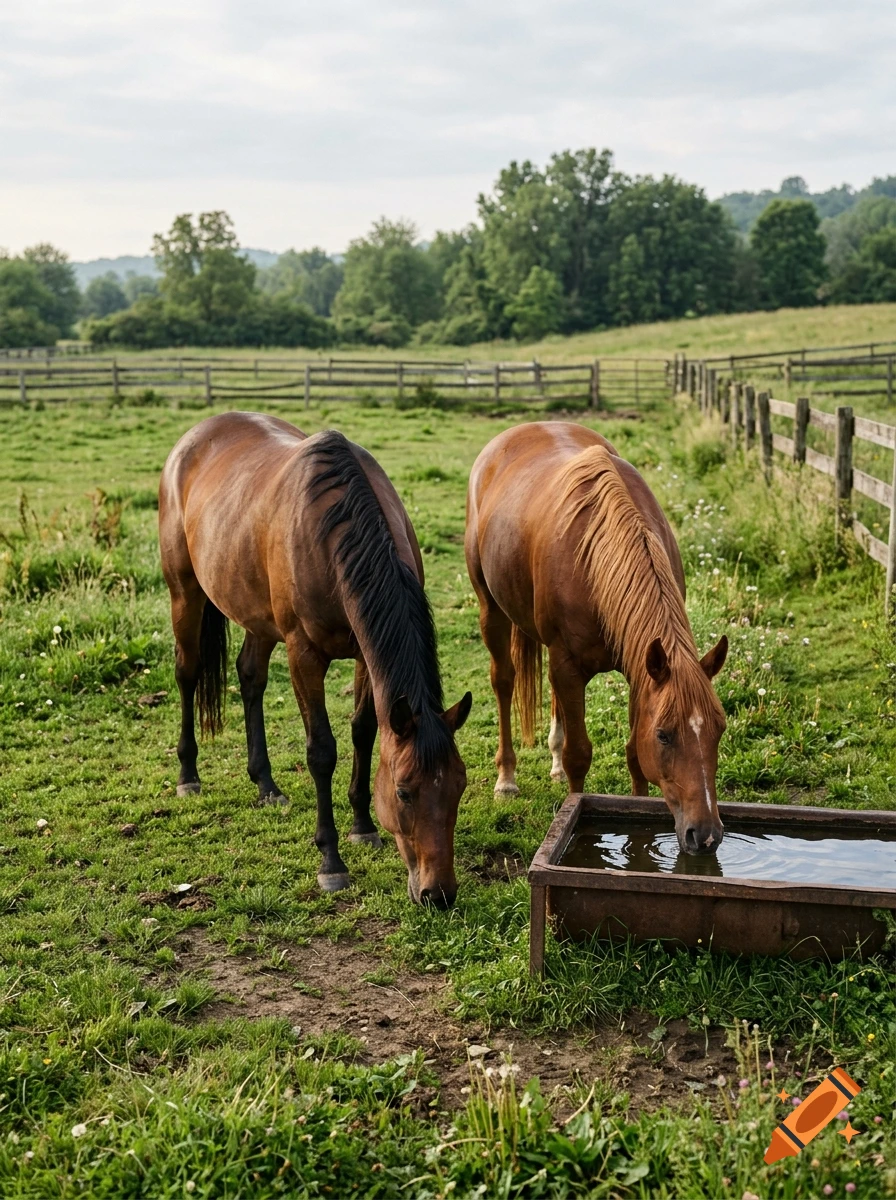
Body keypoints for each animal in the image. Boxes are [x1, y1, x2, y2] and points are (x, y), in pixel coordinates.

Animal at [159, 412, 472, 904]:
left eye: (459, 785)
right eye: (404, 792)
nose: (438, 894)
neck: (334, 534)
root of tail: (194, 436)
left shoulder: (365, 655)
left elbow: (364, 731)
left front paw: (362, 825)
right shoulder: (304, 655)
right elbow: (321, 751)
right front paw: (332, 860)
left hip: (256, 614)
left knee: (250, 677)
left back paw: (265, 783)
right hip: (184, 593)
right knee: (188, 673)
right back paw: (188, 775)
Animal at [465, 421, 728, 856]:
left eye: (719, 729)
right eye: (665, 735)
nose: (705, 836)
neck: (598, 557)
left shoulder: (642, 669)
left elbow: (634, 755)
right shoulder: (570, 666)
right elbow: (580, 755)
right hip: (492, 610)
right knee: (503, 681)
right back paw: (506, 779)